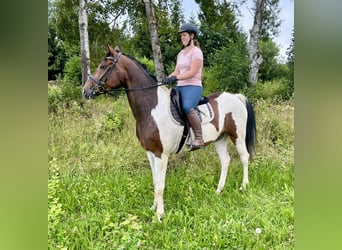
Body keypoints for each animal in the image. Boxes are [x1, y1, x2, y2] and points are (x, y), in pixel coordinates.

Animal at [81, 44, 255, 221]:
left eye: (103, 66)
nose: (85, 91)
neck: (151, 108)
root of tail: (235, 97)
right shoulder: (150, 153)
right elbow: (155, 181)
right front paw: (153, 207)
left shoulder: (161, 154)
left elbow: (160, 185)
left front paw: (159, 216)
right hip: (220, 139)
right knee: (225, 161)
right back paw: (219, 190)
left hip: (237, 136)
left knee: (244, 157)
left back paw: (244, 186)